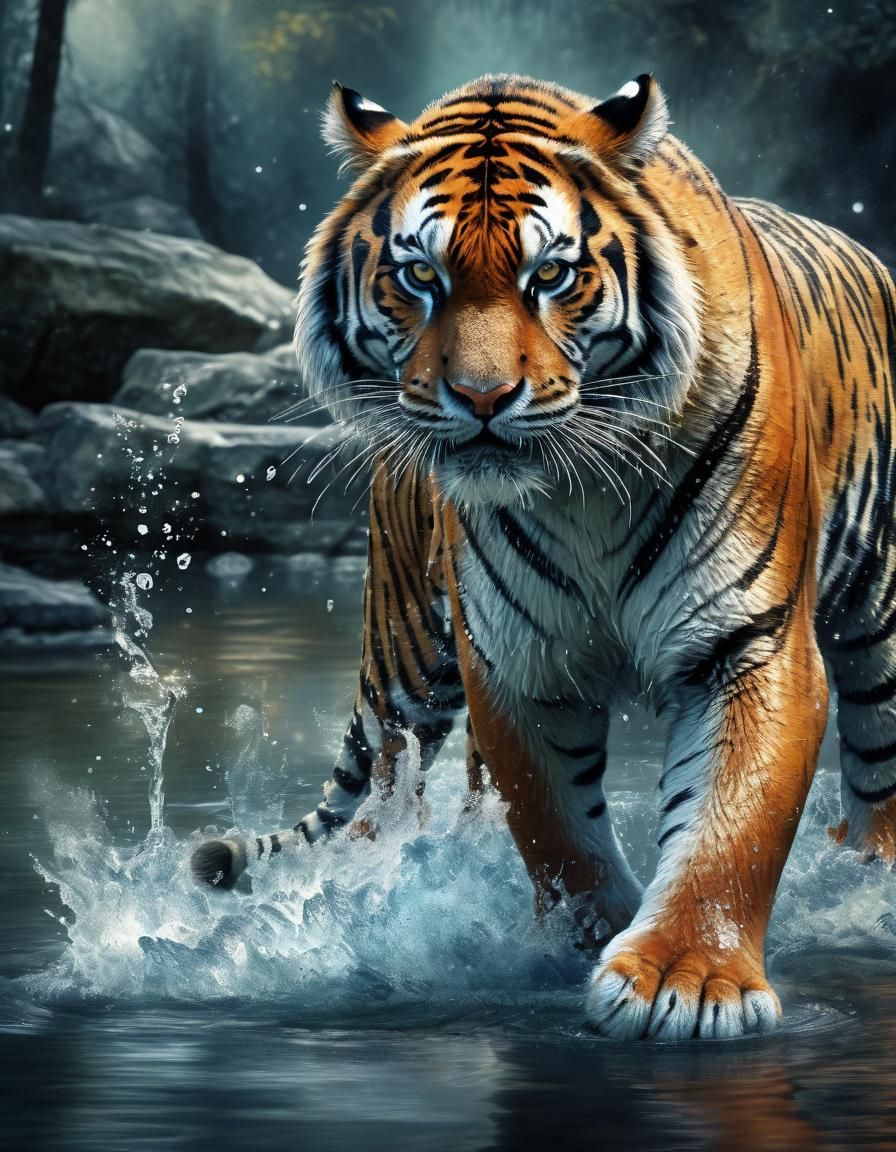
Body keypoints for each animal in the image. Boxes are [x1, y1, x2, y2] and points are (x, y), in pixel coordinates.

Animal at [191, 73, 896, 1041]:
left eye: (551, 275)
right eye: (421, 275)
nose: (482, 397)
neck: (583, 486)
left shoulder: (748, 643)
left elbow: (732, 821)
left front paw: (686, 979)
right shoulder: (515, 659)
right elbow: (558, 832)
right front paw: (581, 944)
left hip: (882, 621)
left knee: (879, 763)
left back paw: (873, 884)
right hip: (408, 656)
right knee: (383, 799)